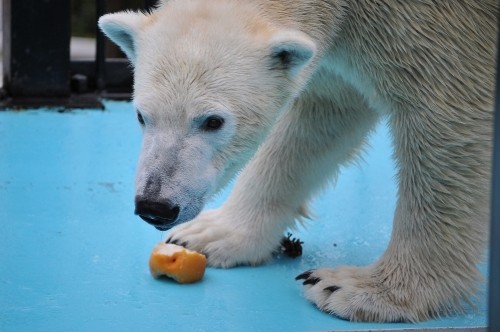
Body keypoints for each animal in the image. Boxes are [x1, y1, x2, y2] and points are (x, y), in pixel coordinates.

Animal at [99, 0, 498, 322]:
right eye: (142, 115)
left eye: (213, 121)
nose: (155, 206)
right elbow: (320, 116)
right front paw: (211, 234)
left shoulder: (438, 28)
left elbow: (446, 119)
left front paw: (357, 290)